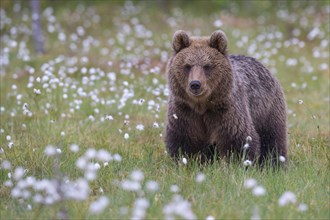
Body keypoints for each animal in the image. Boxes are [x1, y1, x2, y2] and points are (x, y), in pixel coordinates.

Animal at [166, 30, 288, 166]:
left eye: (207, 66)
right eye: (187, 66)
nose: (195, 84)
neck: (202, 105)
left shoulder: (227, 111)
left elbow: (237, 140)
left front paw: (237, 163)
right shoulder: (185, 111)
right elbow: (184, 140)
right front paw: (187, 161)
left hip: (267, 110)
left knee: (272, 138)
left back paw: (275, 163)